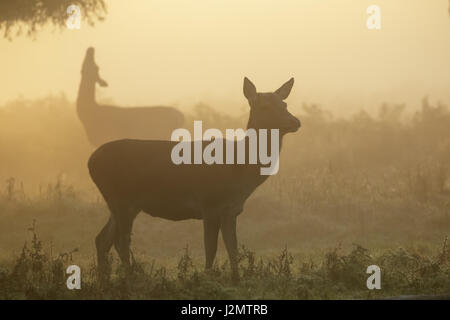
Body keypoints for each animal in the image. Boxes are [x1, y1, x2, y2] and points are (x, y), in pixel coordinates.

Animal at [88, 77, 300, 280]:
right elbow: (211, 248)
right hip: (121, 199)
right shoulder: (209, 204)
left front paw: (236, 278)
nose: (296, 122)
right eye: (265, 106)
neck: (240, 172)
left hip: (122, 204)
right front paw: (207, 277)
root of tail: (90, 162)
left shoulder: (231, 210)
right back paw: (130, 278)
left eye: (284, 104)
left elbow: (232, 247)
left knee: (102, 239)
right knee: (120, 241)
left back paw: (104, 280)